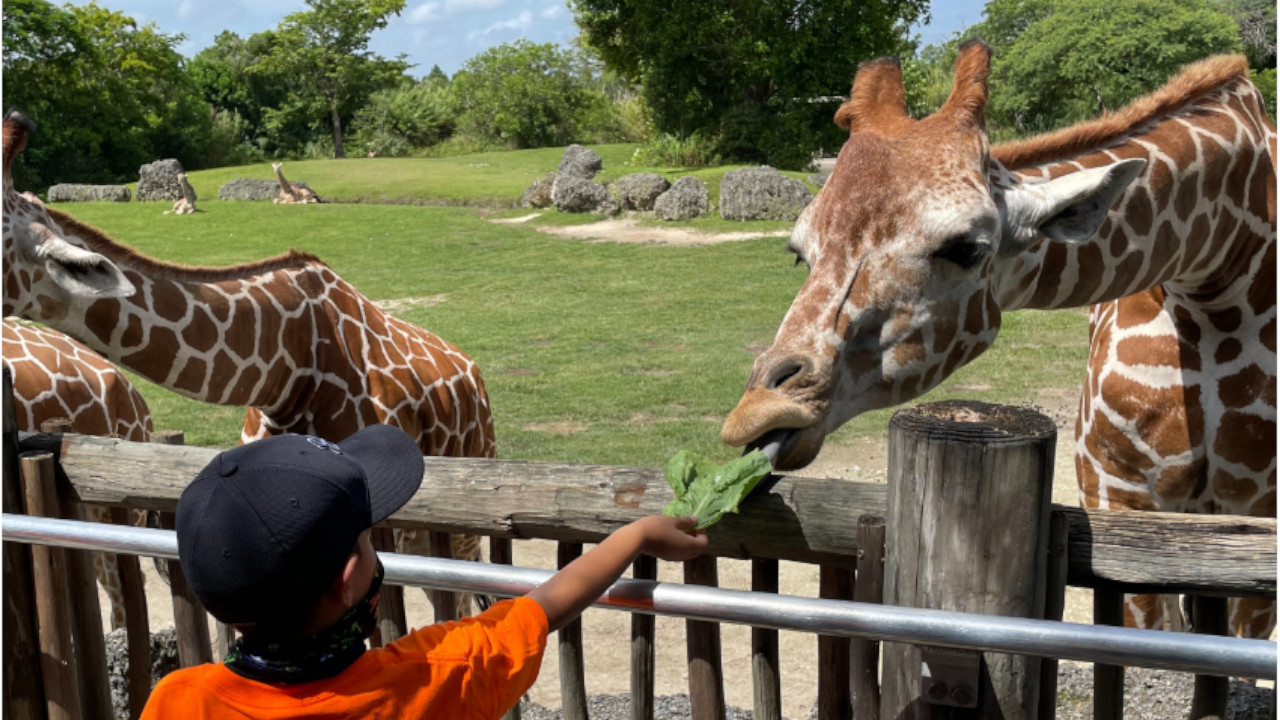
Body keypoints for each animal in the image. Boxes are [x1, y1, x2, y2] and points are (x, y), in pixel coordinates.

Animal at [727, 46, 1274, 638]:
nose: (757, 413)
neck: (1217, 267)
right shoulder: (1117, 491)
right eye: (799, 253)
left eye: (966, 248)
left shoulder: (1255, 519)